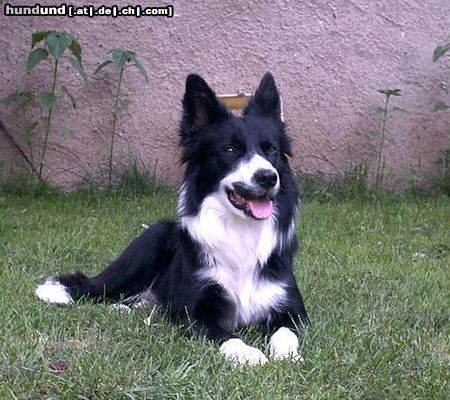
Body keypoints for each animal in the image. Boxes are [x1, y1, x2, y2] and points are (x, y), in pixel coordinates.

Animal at [36, 72, 310, 366]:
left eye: (271, 150)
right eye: (230, 150)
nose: (268, 177)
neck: (241, 231)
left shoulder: (292, 309)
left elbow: (286, 332)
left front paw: (287, 355)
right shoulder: (194, 313)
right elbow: (228, 337)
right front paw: (251, 355)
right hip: (150, 241)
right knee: (94, 287)